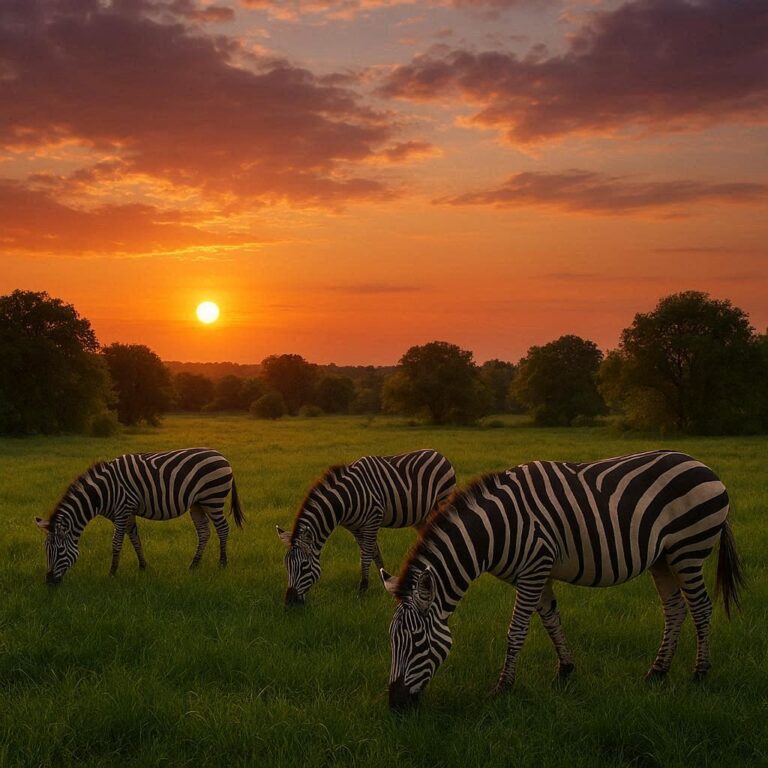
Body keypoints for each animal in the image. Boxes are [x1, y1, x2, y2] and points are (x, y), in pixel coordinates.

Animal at [35, 448, 244, 584]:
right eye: (46, 550)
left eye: (60, 551)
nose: (49, 582)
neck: (103, 493)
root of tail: (222, 456)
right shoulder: (127, 513)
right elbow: (135, 538)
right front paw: (143, 567)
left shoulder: (122, 510)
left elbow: (116, 542)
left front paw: (112, 572)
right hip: (198, 504)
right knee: (204, 532)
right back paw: (194, 565)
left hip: (213, 498)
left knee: (223, 528)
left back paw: (222, 563)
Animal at [276, 449, 456, 605]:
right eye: (286, 565)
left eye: (304, 566)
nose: (289, 603)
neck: (346, 500)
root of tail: (437, 453)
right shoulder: (356, 528)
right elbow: (374, 554)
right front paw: (384, 582)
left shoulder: (372, 522)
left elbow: (366, 557)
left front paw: (362, 590)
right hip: (422, 516)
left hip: (442, 500)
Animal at [381, 450, 743, 710]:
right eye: (391, 641)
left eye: (417, 641)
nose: (395, 705)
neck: (497, 528)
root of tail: (704, 466)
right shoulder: (536, 573)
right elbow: (551, 620)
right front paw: (566, 670)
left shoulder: (534, 570)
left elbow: (517, 630)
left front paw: (502, 687)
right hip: (663, 558)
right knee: (675, 609)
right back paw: (658, 672)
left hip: (688, 550)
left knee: (701, 608)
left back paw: (700, 673)